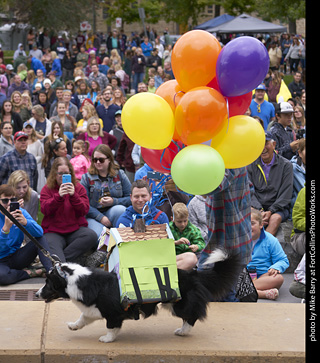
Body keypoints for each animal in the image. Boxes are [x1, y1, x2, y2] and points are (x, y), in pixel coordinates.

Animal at [35, 250, 240, 344]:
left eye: (48, 283)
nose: (37, 294)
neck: (74, 280)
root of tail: (193, 274)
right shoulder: (93, 309)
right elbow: (82, 318)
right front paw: (73, 326)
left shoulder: (113, 313)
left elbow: (111, 327)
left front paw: (107, 339)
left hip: (178, 305)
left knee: (192, 315)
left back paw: (183, 331)